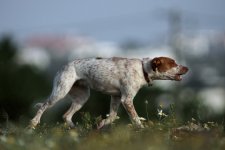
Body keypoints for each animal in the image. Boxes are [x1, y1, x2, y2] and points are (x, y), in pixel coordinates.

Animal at [29, 56, 188, 129]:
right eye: (173, 63)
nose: (187, 68)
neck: (143, 69)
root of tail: (63, 66)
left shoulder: (116, 97)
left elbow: (111, 117)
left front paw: (100, 124)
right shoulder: (126, 99)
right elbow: (136, 119)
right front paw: (142, 129)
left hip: (82, 97)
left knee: (66, 115)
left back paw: (76, 129)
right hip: (60, 92)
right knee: (43, 106)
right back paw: (33, 123)